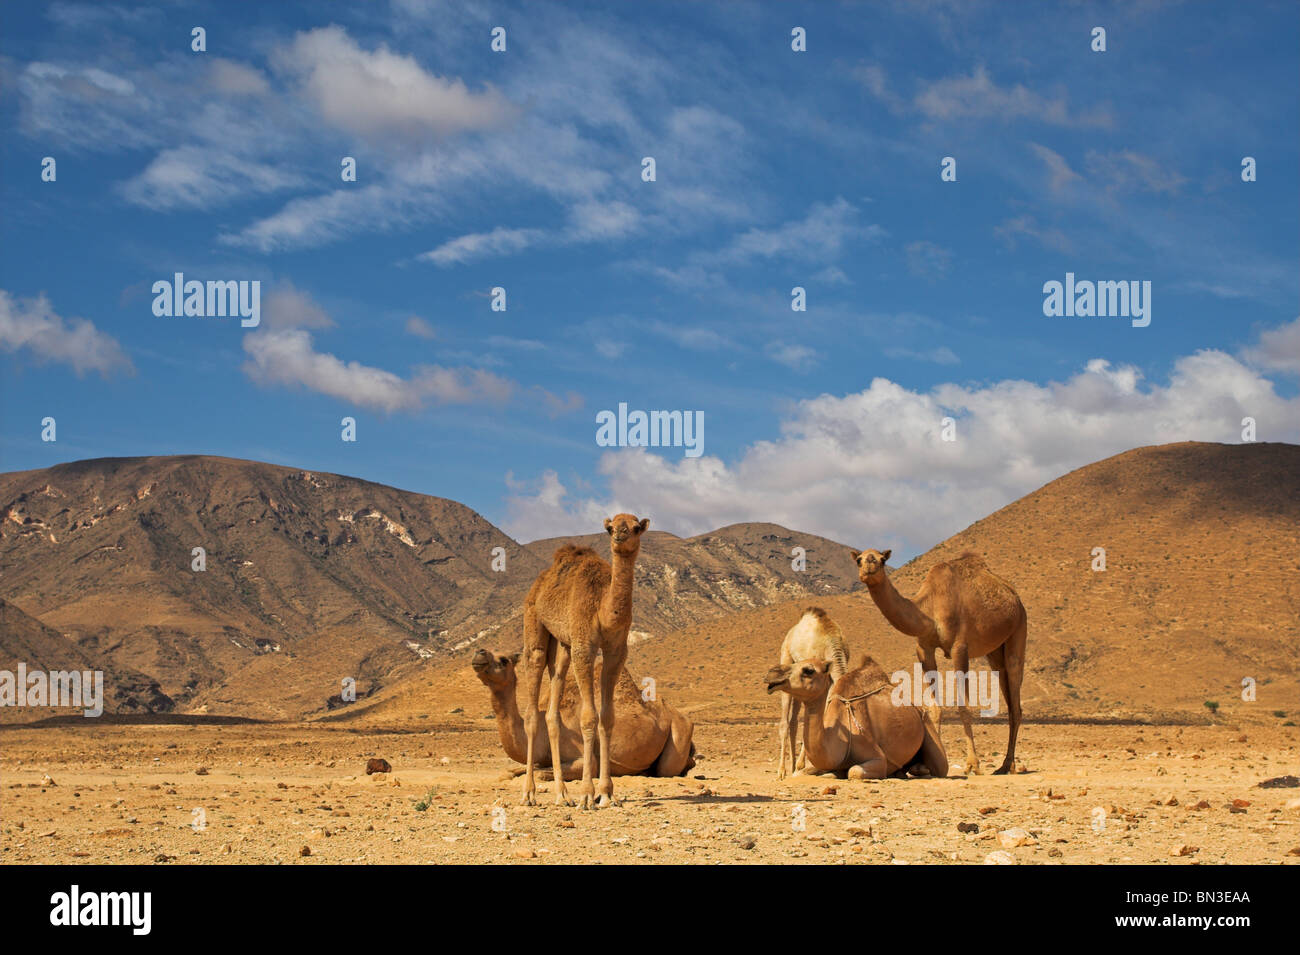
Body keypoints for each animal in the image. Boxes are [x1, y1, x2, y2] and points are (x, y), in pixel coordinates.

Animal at [470, 649, 696, 779]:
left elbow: (545, 773)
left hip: (679, 730)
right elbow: (515, 771)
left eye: (504, 660)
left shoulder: (582, 754)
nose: (479, 652)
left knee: (668, 769)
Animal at [512, 511, 644, 810]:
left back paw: (562, 794)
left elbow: (607, 717)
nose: (620, 535)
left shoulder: (617, 650)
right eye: (610, 528)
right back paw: (529, 794)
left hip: (562, 644)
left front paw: (607, 794)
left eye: (635, 527)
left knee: (553, 708)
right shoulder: (584, 647)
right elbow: (588, 716)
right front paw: (586, 795)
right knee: (532, 708)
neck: (603, 609)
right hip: (534, 626)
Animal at [759, 657, 946, 784]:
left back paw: (917, 769)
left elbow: (854, 771)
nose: (771, 674)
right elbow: (800, 773)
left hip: (927, 725)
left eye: (808, 670)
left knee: (940, 767)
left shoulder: (877, 756)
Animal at [769, 608, 852, 779]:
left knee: (793, 722)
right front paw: (802, 765)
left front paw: (801, 766)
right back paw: (782, 771)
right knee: (784, 723)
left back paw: (793, 766)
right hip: (786, 657)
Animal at [852, 545, 1024, 779]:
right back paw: (1006, 765)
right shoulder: (924, 648)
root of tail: (1015, 598)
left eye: (882, 559)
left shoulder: (960, 647)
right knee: (1005, 682)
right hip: (995, 652)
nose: (870, 565)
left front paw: (973, 765)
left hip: (1019, 630)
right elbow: (934, 707)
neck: (929, 609)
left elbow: (963, 706)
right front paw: (927, 765)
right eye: (859, 559)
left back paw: (1007, 765)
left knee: (1016, 700)